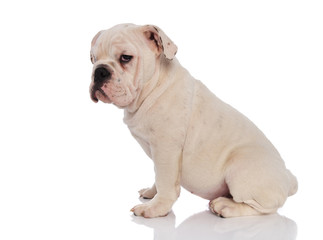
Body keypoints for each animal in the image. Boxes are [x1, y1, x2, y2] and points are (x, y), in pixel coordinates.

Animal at [89, 23, 298, 218]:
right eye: (93, 59)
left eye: (126, 58)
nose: (99, 71)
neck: (153, 88)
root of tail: (289, 179)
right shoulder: (157, 154)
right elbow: (157, 177)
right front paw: (150, 193)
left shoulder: (166, 149)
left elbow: (165, 182)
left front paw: (155, 209)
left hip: (241, 170)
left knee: (264, 209)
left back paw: (225, 206)